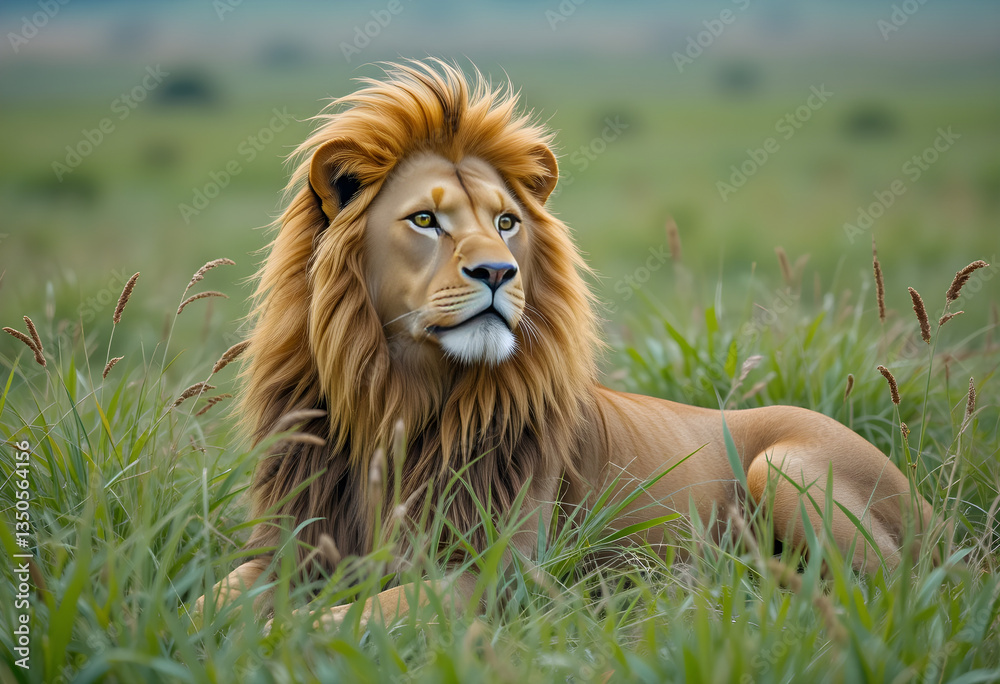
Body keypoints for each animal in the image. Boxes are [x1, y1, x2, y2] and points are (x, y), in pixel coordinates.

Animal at [196, 60, 936, 627]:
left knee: (890, 588)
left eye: (506, 222)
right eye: (426, 220)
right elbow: (214, 595)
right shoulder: (297, 545)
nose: (498, 272)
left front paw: (289, 637)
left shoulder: (503, 572)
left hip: (783, 469)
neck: (398, 399)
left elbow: (361, 612)